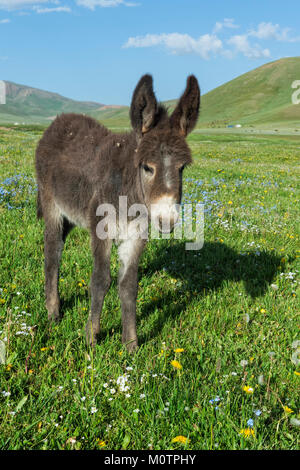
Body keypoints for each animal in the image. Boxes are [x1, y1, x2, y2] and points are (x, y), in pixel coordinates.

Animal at [35, 73, 199, 350]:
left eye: (182, 168)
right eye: (147, 167)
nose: (166, 221)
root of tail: (61, 119)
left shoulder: (136, 235)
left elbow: (129, 285)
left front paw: (131, 344)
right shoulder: (101, 228)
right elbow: (101, 280)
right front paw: (91, 339)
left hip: (71, 213)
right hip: (51, 205)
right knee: (52, 252)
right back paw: (53, 313)